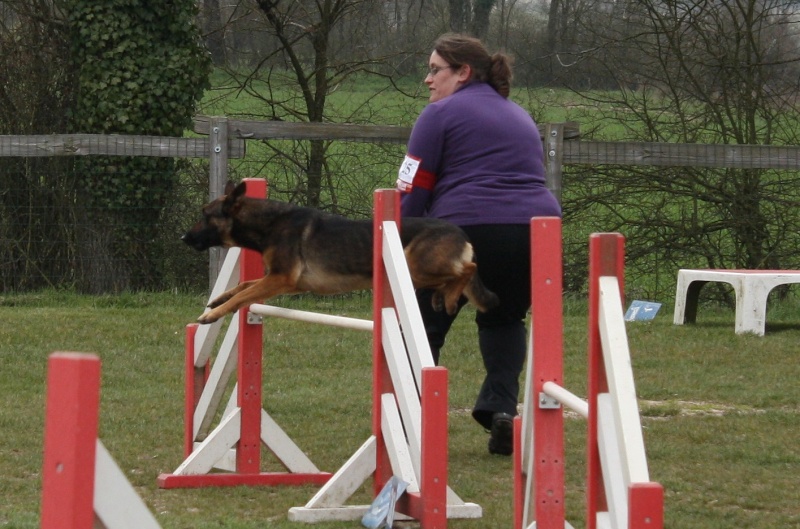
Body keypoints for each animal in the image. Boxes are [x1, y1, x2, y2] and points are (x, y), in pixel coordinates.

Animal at [184, 180, 496, 322]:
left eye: (205, 214)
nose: (183, 237)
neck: (269, 223)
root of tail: (461, 232)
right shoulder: (286, 282)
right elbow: (245, 285)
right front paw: (219, 298)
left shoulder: (281, 279)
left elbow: (245, 294)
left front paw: (212, 315)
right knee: (456, 275)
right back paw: (443, 296)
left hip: (414, 266)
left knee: (468, 269)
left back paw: (451, 295)